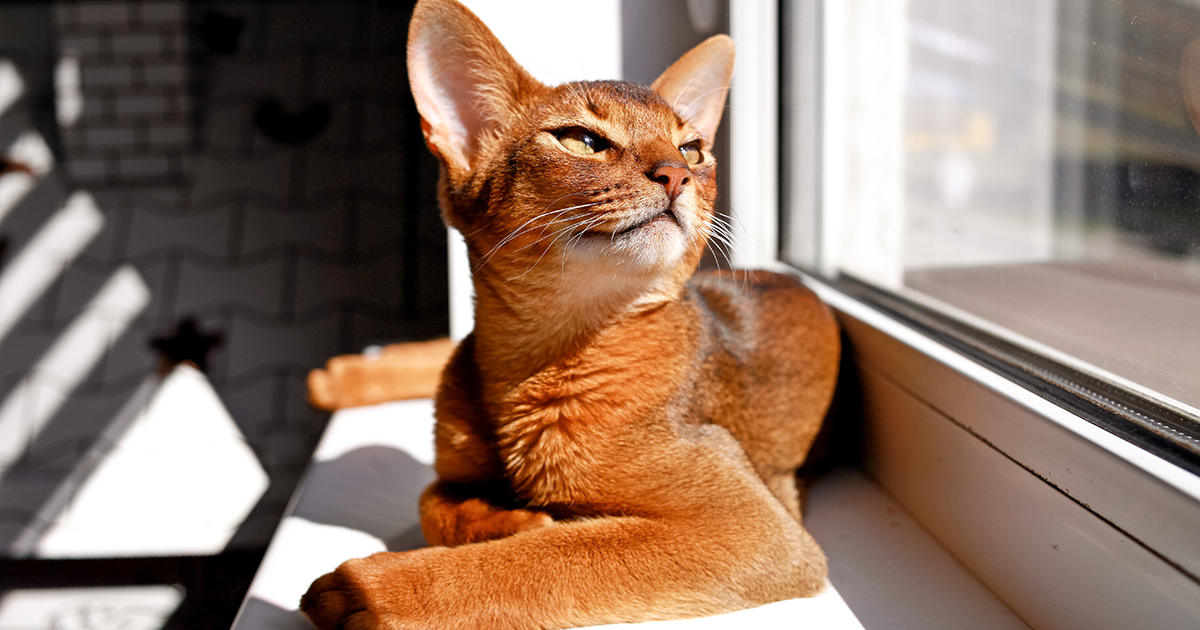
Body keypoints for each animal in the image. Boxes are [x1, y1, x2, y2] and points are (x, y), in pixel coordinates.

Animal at [300, 1, 840, 624]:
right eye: (582, 140)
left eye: (692, 149)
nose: (676, 174)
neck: (534, 362)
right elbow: (432, 496)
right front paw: (509, 517)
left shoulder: (755, 526)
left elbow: (544, 557)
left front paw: (368, 592)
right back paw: (343, 377)